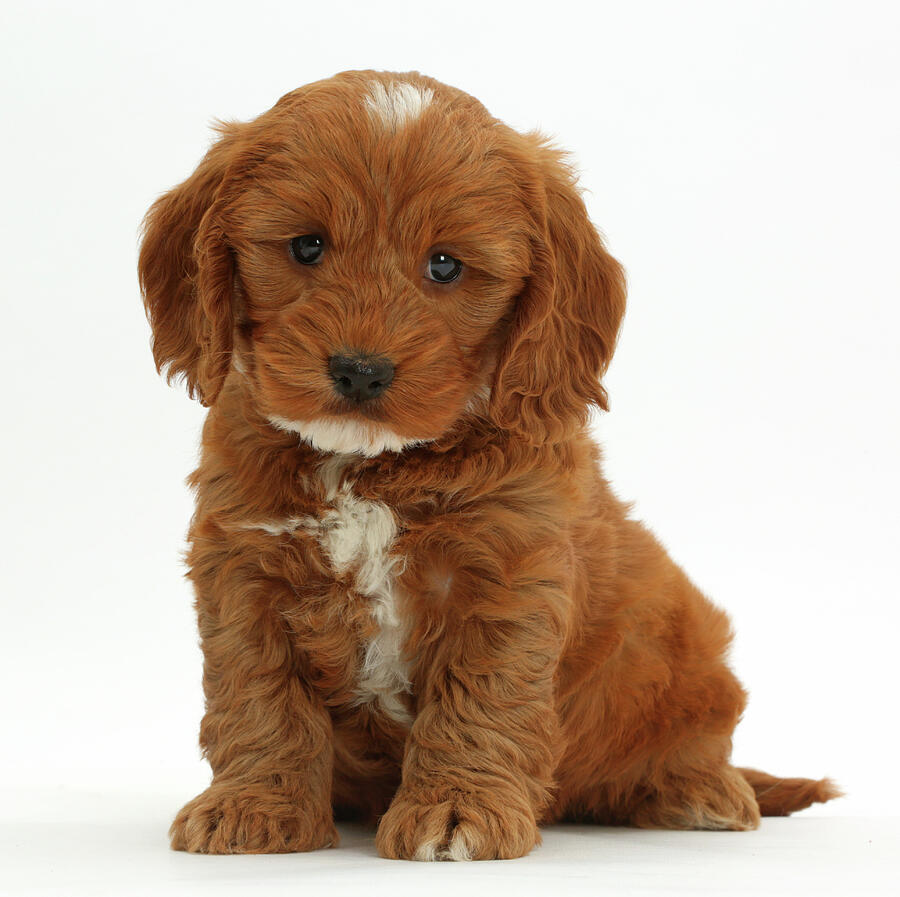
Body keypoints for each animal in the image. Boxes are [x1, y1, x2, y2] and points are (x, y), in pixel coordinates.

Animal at [139, 68, 836, 856]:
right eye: (307, 247)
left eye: (445, 264)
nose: (360, 371)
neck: (367, 466)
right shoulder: (244, 568)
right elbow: (257, 695)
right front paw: (254, 804)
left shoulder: (506, 574)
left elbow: (479, 696)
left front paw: (456, 809)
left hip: (691, 648)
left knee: (699, 737)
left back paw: (701, 791)